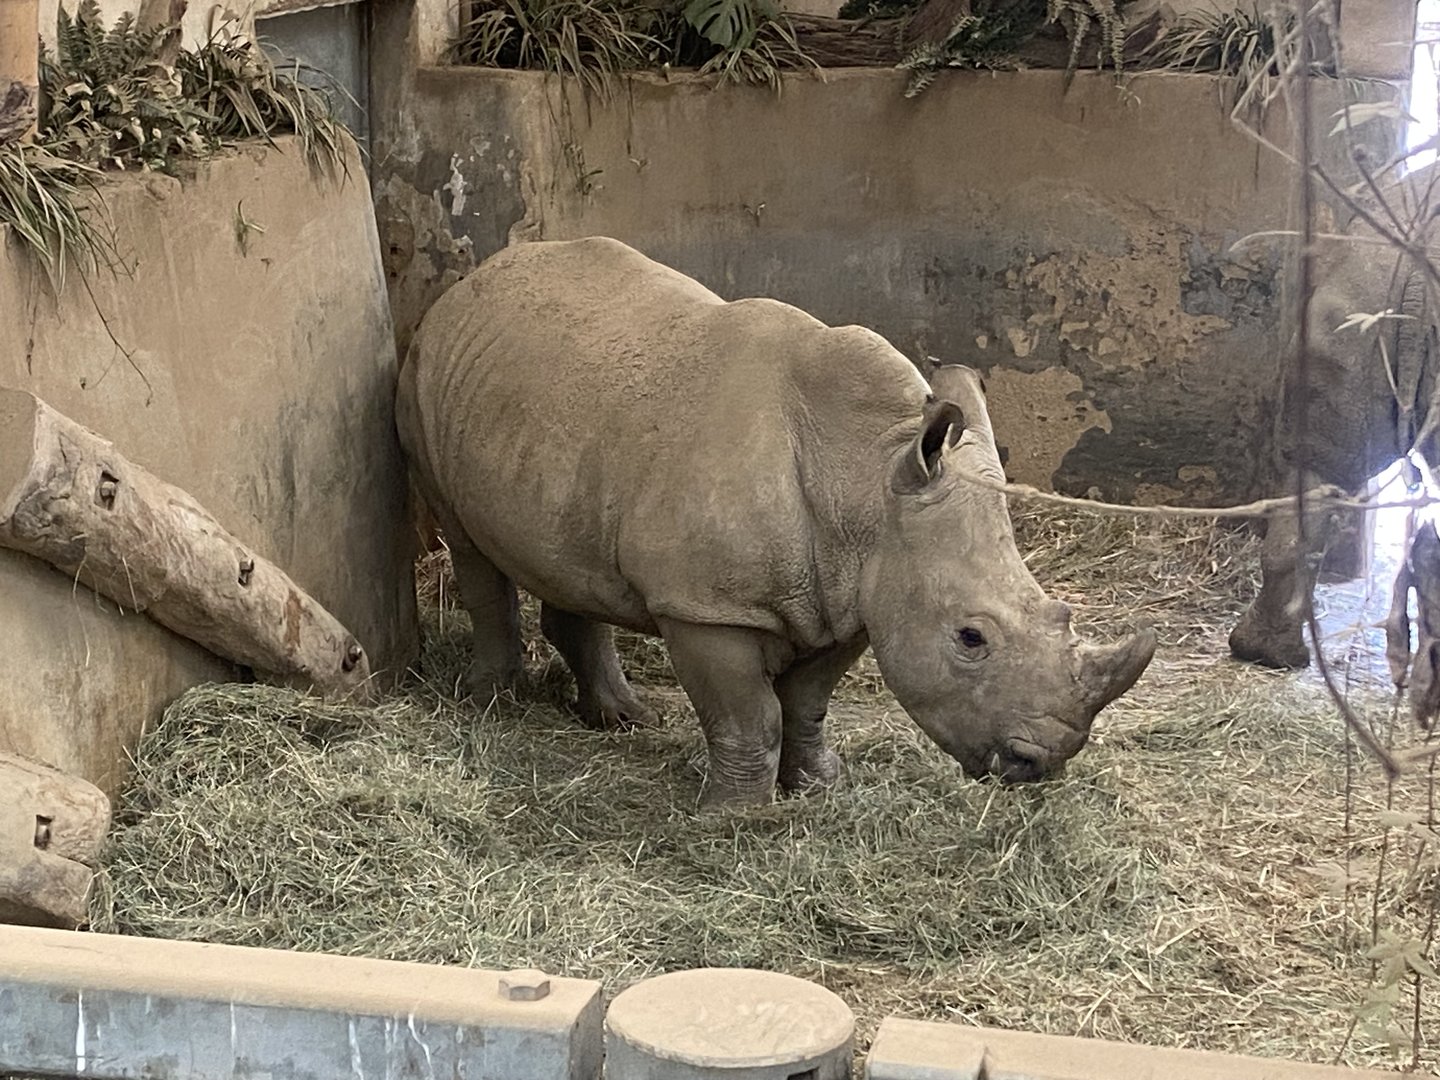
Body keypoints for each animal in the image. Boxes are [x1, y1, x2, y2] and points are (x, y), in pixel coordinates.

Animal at [396, 237, 1157, 807]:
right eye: (970, 638)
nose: (1039, 763)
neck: (867, 477)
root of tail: (474, 279)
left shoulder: (850, 594)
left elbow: (806, 703)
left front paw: (818, 789)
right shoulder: (707, 606)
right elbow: (747, 714)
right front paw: (733, 817)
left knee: (568, 554)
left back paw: (622, 720)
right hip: (421, 377)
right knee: (470, 547)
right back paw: (494, 705)